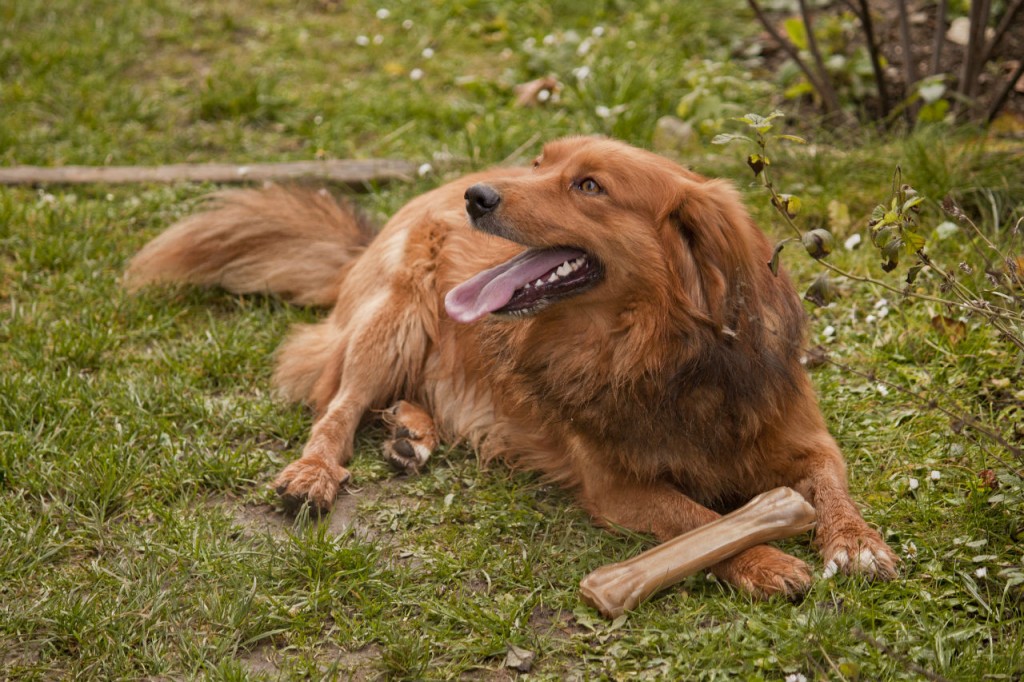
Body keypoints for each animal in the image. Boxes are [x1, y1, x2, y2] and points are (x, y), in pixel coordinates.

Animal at [125, 135, 897, 593]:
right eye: (541, 163)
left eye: (589, 186)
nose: (478, 196)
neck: (659, 353)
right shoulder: (618, 488)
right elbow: (697, 519)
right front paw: (764, 560)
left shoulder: (804, 436)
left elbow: (832, 485)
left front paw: (856, 543)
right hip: (395, 313)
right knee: (336, 406)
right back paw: (317, 471)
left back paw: (411, 432)